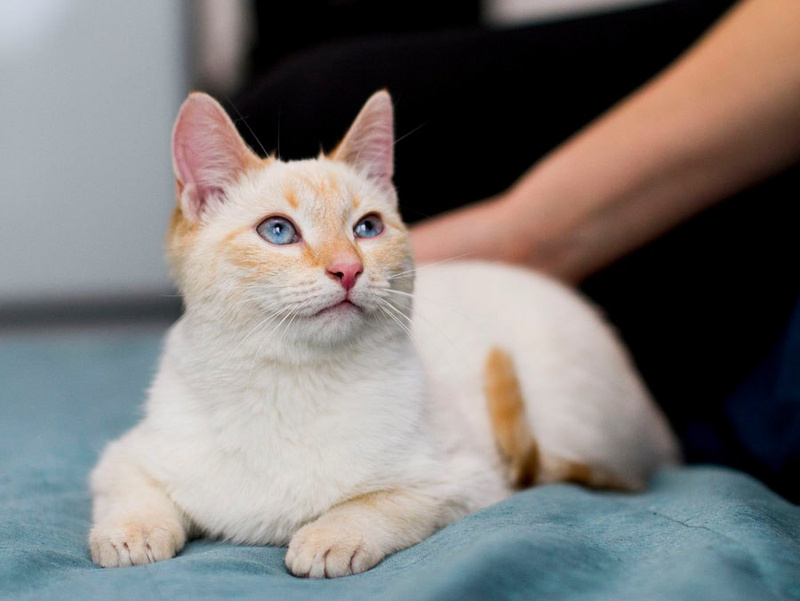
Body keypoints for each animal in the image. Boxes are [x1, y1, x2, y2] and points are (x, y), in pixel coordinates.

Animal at [88, 90, 680, 578]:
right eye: (278, 231)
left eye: (367, 228)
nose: (348, 269)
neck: (291, 382)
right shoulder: (127, 455)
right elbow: (133, 494)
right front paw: (130, 535)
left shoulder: (463, 482)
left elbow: (375, 503)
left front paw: (328, 538)